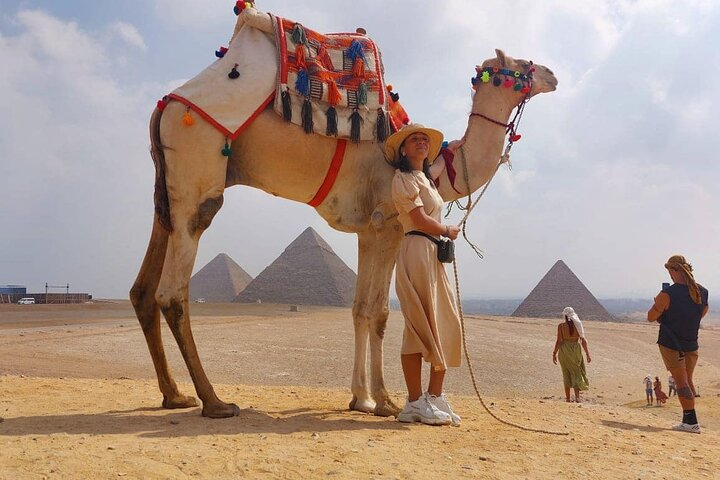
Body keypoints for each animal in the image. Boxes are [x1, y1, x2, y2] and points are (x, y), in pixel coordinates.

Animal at [129, 8, 558, 418]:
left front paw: (360, 398)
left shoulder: (368, 230)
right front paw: (384, 400)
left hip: (167, 194)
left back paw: (175, 395)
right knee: (173, 288)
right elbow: (379, 313)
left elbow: (358, 310)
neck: (432, 165)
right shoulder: (389, 225)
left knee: (144, 288)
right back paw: (215, 402)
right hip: (198, 170)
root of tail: (165, 106)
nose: (552, 74)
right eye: (521, 64)